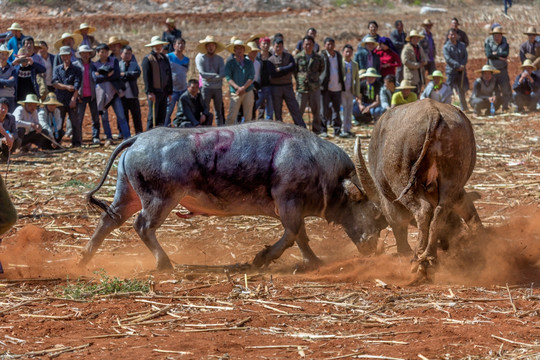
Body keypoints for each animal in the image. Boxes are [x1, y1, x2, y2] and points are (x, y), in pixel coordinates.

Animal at [80, 121, 386, 270]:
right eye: (376, 213)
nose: (373, 248)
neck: (315, 161)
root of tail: (138, 139)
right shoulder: (288, 203)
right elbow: (292, 234)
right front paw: (262, 258)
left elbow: (301, 237)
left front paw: (313, 260)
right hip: (160, 199)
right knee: (142, 226)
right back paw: (164, 263)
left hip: (128, 195)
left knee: (109, 220)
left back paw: (85, 257)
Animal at [354, 98, 486, 272]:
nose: (447, 242)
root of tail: (433, 112)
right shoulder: (459, 193)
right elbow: (470, 214)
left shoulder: (389, 203)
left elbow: (398, 223)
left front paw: (404, 251)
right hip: (452, 180)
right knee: (440, 213)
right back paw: (431, 256)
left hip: (404, 182)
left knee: (423, 211)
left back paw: (419, 259)